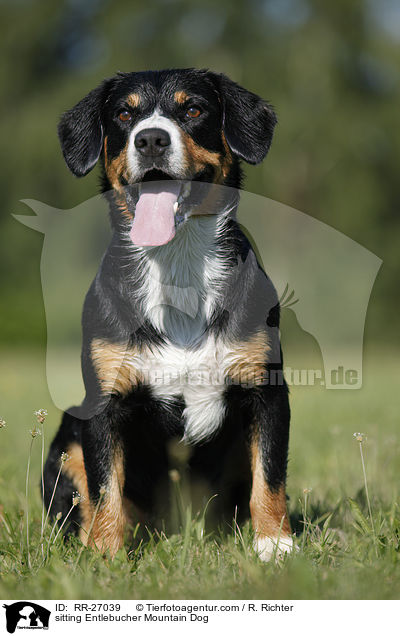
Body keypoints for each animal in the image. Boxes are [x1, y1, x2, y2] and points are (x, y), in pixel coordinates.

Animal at [43, 68, 294, 560]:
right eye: (125, 114)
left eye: (193, 109)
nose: (152, 140)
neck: (178, 268)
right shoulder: (104, 404)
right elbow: (106, 488)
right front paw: (105, 556)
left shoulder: (267, 391)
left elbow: (269, 478)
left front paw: (275, 545)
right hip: (67, 440)